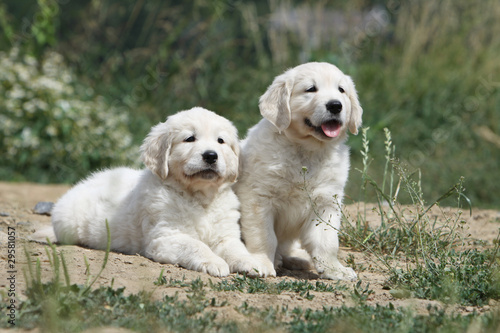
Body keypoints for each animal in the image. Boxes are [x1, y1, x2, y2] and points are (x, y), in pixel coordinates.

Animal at [51, 106, 266, 274]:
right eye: (190, 138)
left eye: (221, 141)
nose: (211, 155)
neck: (199, 197)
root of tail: (85, 182)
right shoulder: (166, 236)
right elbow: (196, 245)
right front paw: (213, 261)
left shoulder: (226, 235)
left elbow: (236, 249)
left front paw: (251, 263)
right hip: (68, 224)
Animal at [236, 62, 362, 280]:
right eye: (311, 89)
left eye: (341, 90)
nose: (335, 105)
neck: (307, 150)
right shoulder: (258, 198)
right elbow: (264, 236)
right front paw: (262, 262)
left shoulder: (326, 202)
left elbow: (327, 241)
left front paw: (334, 269)